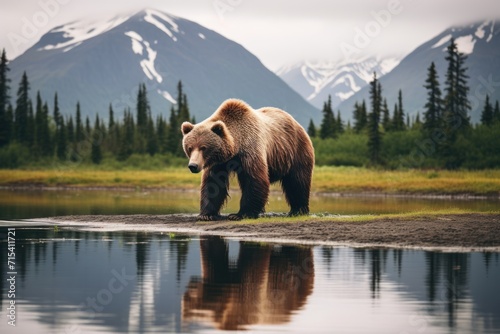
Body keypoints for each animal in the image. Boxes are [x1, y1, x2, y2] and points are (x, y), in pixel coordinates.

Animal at [181, 98, 312, 220]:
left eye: (203, 148)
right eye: (190, 148)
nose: (193, 166)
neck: (235, 148)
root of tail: (296, 122)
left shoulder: (250, 150)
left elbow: (254, 180)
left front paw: (240, 214)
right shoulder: (218, 162)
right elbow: (213, 183)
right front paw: (206, 214)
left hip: (295, 150)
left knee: (297, 181)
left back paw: (298, 210)